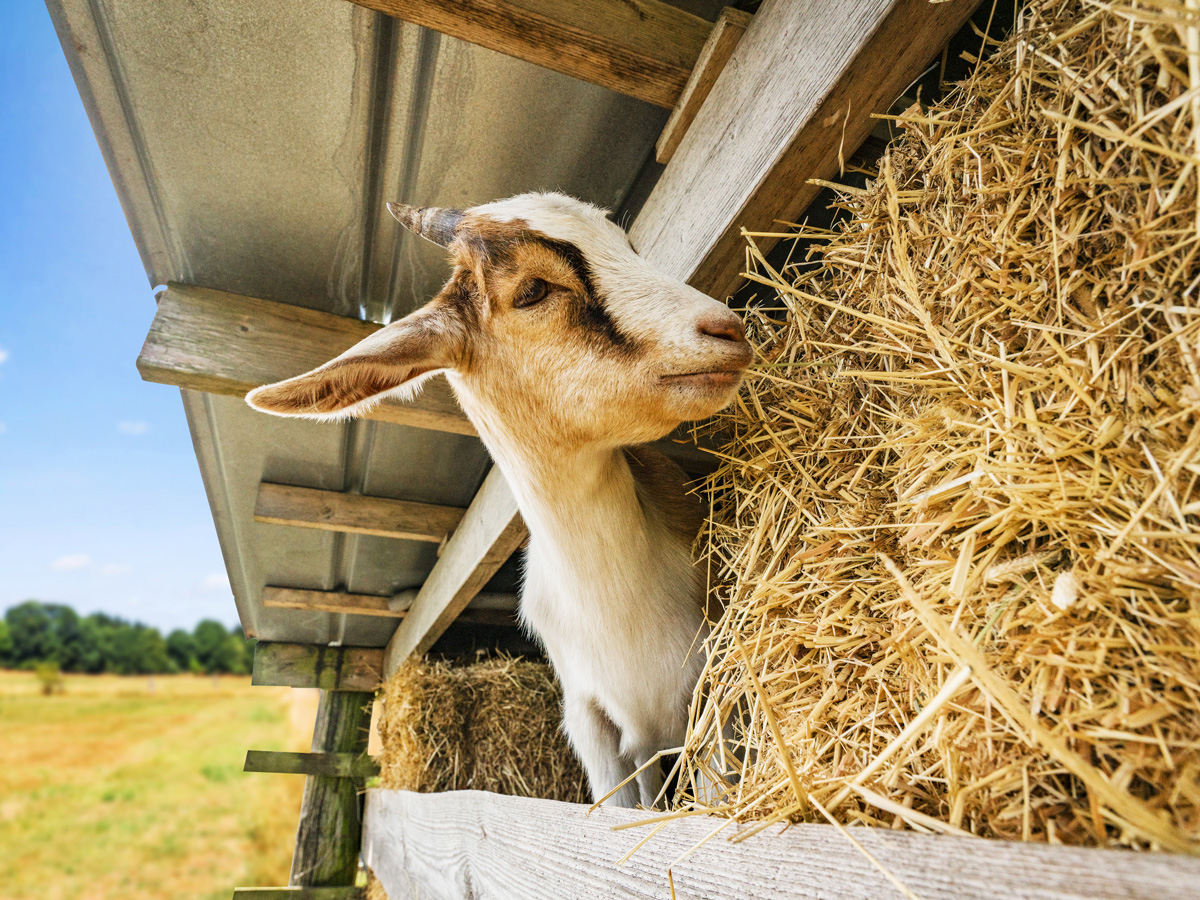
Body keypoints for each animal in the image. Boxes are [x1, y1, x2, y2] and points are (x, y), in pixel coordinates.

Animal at [243, 192, 748, 811]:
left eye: (626, 246)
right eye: (532, 290)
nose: (726, 328)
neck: (621, 610)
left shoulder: (712, 698)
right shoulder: (596, 731)